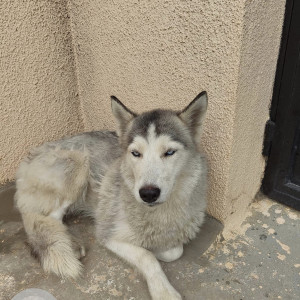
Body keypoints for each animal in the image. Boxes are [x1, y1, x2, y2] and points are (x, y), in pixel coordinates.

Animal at [15, 92, 207, 300]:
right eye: (136, 153)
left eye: (169, 152)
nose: (148, 194)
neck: (158, 213)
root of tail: (32, 155)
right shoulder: (108, 235)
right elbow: (146, 256)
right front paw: (163, 290)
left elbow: (173, 252)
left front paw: (155, 247)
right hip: (78, 163)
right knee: (48, 219)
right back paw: (70, 243)